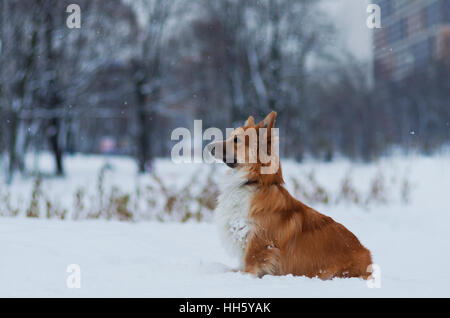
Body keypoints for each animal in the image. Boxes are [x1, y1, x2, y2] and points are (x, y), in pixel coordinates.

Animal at [209, 111, 370, 278]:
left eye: (236, 140)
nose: (209, 146)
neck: (252, 182)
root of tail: (368, 257)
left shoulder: (257, 248)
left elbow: (246, 270)